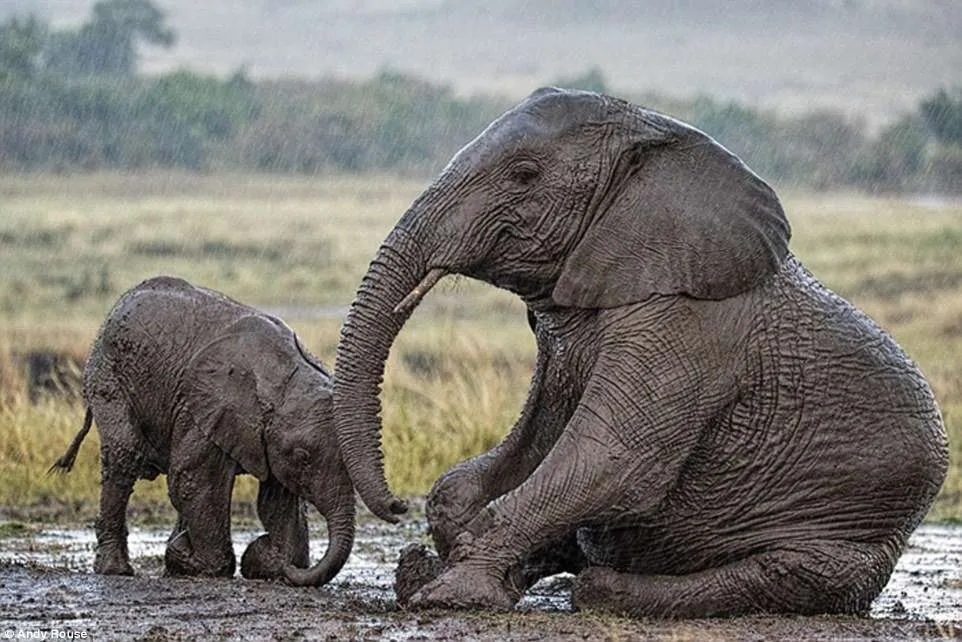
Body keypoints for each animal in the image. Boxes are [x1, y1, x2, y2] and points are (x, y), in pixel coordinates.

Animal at [50, 272, 354, 584]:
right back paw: (118, 570)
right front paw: (195, 558)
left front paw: (269, 560)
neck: (285, 378)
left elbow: (277, 501)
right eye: (303, 457)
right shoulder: (207, 408)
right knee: (124, 456)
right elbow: (194, 482)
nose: (283, 564)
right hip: (108, 376)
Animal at [332, 87, 944, 612]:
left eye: (525, 175)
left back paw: (603, 591)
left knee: (777, 573)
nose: (395, 505)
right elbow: (511, 461)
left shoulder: (688, 326)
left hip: (847, 541)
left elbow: (612, 460)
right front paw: (438, 567)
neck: (657, 141)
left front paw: (451, 594)